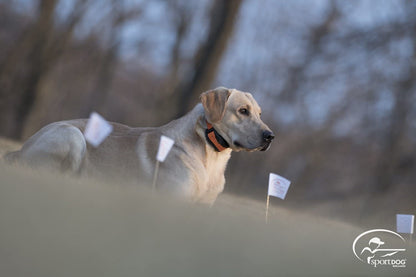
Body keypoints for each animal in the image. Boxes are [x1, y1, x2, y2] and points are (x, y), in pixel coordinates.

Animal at [6, 87, 274, 203]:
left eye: (260, 113)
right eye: (243, 111)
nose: (270, 136)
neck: (211, 157)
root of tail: (19, 150)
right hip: (73, 136)